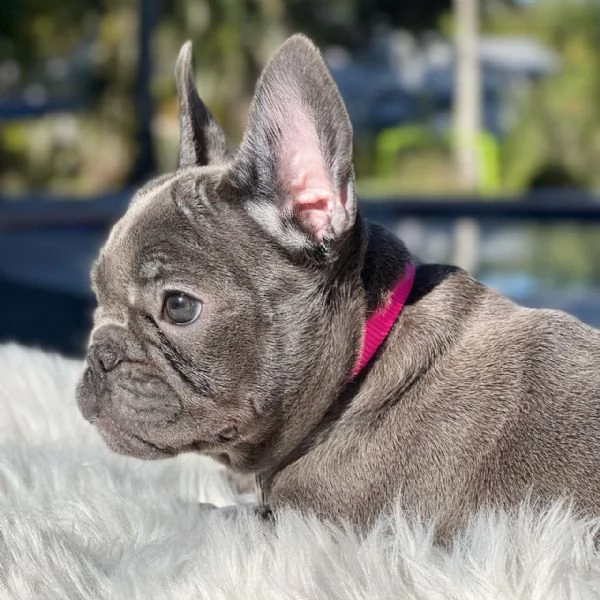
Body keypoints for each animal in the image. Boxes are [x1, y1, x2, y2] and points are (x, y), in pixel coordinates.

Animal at [76, 32, 600, 540]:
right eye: (97, 300)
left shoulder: (312, 521)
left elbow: (208, 512)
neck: (364, 363)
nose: (100, 354)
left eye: (179, 307)